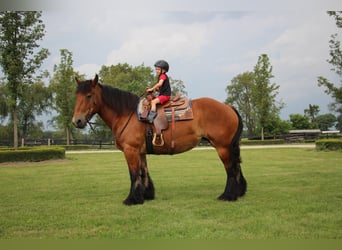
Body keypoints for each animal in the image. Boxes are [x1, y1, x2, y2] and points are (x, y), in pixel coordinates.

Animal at [72, 73, 246, 205]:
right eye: (77, 96)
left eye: (89, 95)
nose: (77, 121)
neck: (127, 114)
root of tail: (228, 107)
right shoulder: (140, 152)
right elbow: (143, 172)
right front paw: (146, 195)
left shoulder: (130, 150)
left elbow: (133, 174)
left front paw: (132, 199)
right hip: (228, 147)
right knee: (236, 167)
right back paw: (239, 192)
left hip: (222, 147)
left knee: (231, 170)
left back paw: (227, 195)